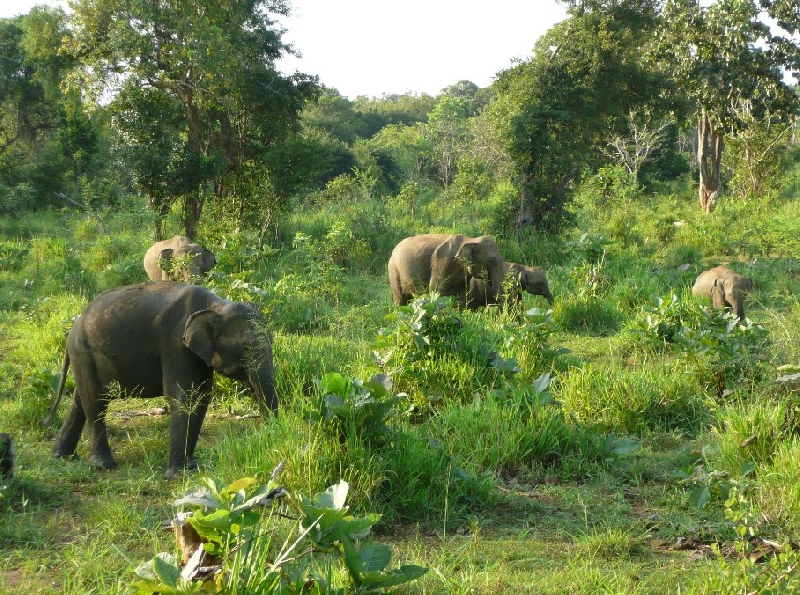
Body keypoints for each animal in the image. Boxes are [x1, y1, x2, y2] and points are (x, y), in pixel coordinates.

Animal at [47, 282, 278, 480]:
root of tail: (74, 325)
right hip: (83, 352)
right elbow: (182, 396)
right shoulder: (174, 342)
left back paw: (62, 456)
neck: (216, 305)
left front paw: (191, 468)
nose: (266, 435)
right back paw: (103, 466)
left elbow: (201, 398)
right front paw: (177, 476)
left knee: (81, 400)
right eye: (245, 348)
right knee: (95, 402)